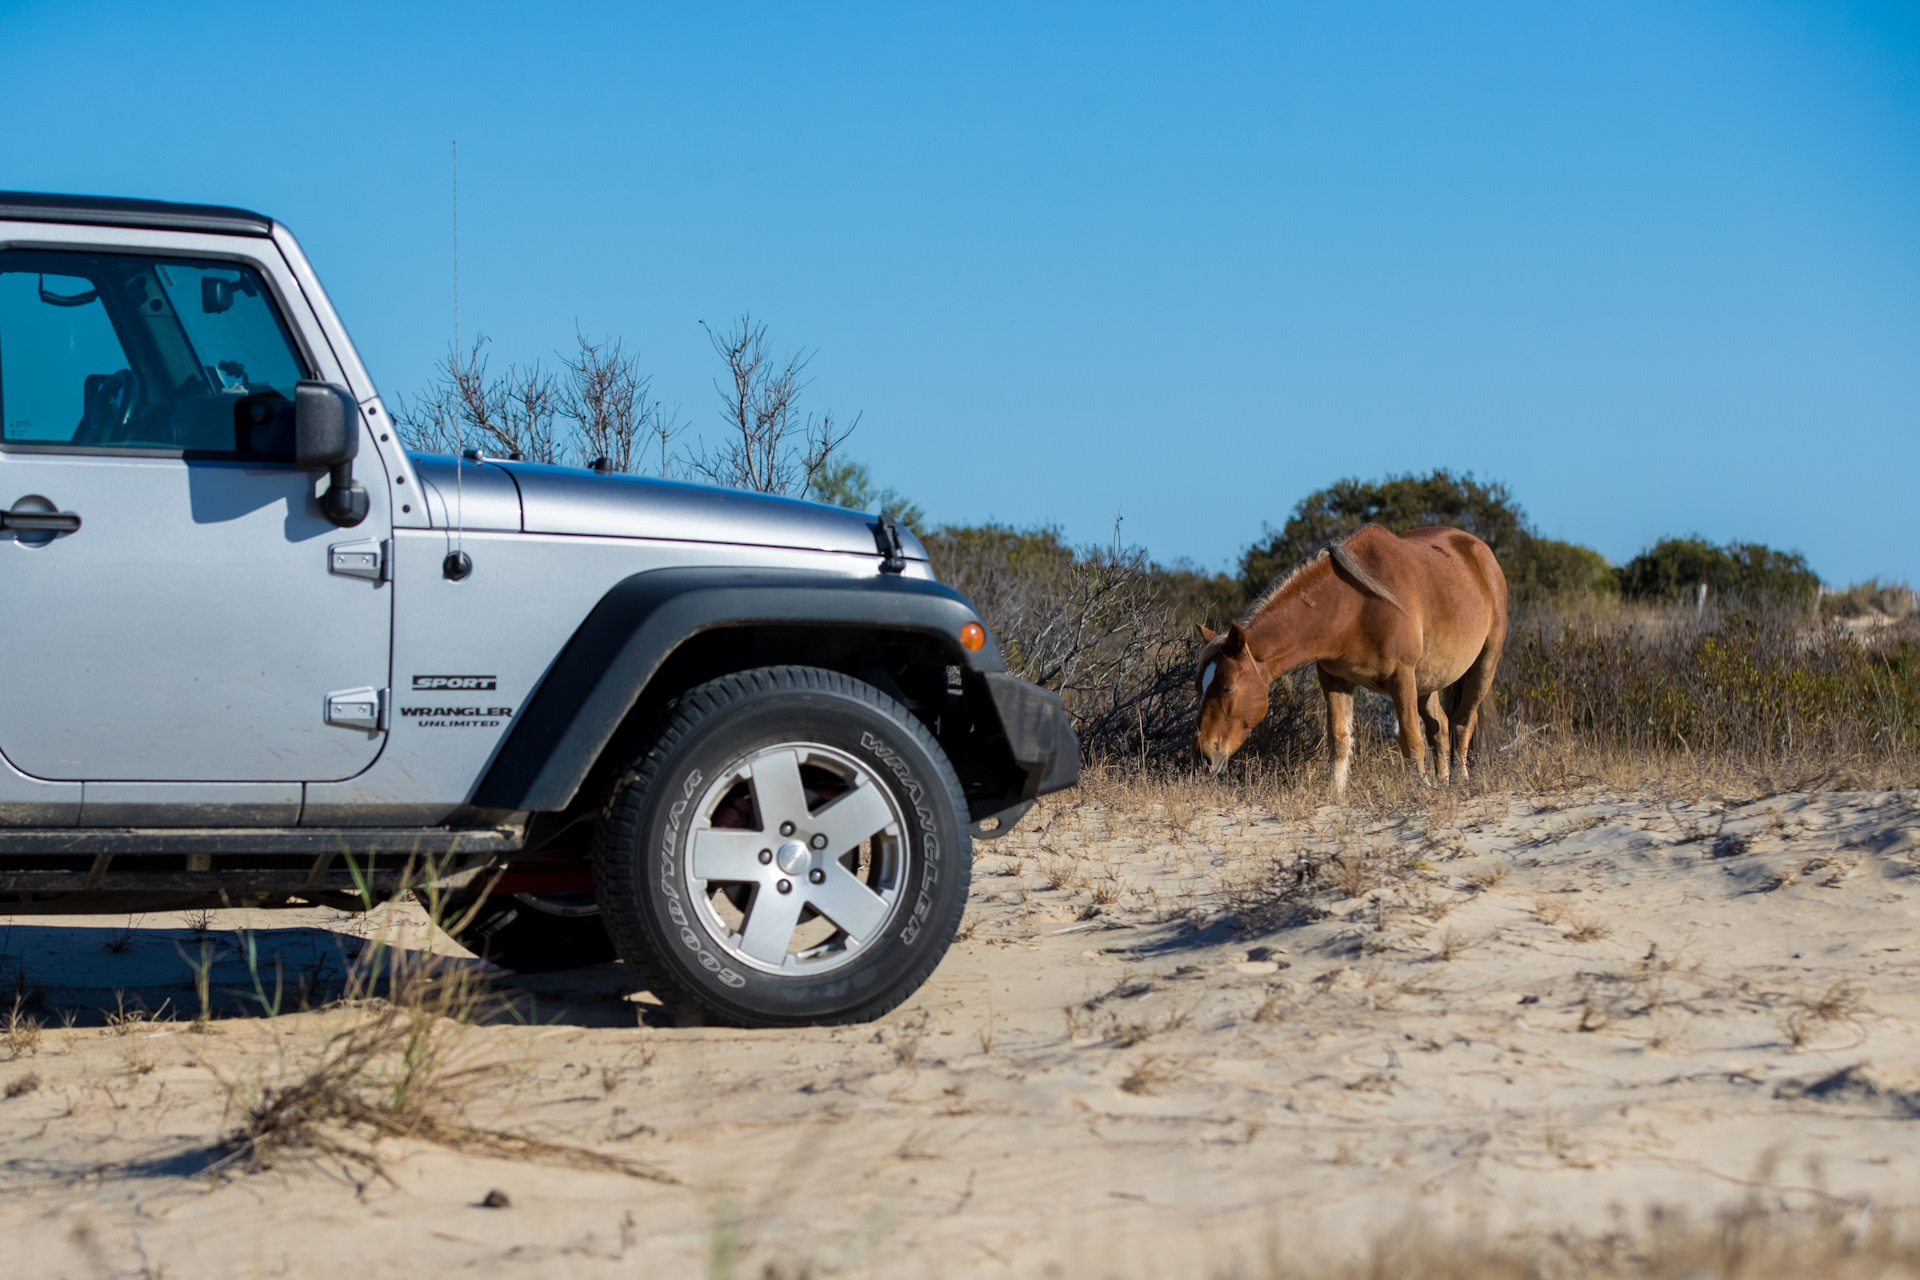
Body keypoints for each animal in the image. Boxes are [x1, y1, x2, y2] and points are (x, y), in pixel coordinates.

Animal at [1190, 521, 1505, 790]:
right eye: (1198, 688)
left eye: (1228, 687)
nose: (1203, 758)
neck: (1354, 608)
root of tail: (1480, 550)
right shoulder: (1335, 680)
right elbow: (1340, 741)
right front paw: (1336, 795)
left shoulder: (1402, 678)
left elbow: (1411, 742)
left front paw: (1421, 790)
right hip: (1428, 682)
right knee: (1440, 728)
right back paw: (1444, 783)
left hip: (1483, 667)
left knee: (1462, 723)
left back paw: (1461, 782)